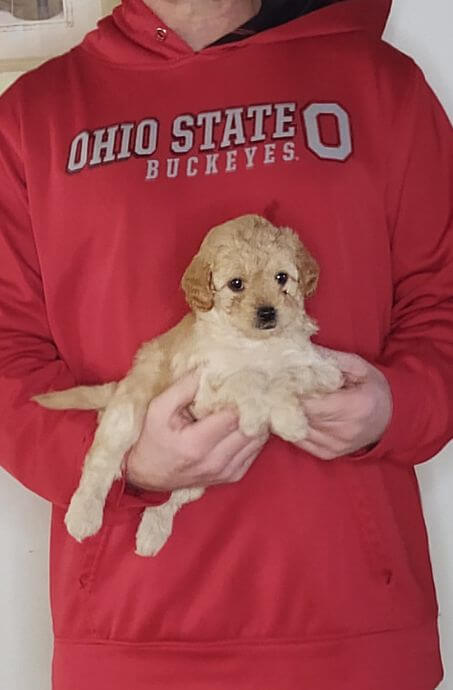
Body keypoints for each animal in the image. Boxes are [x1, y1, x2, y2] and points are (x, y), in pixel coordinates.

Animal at [33, 218, 340, 556]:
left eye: (282, 277)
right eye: (236, 284)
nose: (268, 312)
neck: (256, 343)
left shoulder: (323, 369)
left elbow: (287, 376)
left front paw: (289, 419)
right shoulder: (204, 387)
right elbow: (247, 378)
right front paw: (260, 414)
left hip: (199, 478)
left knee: (171, 497)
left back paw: (151, 535)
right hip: (126, 414)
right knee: (100, 463)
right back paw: (83, 516)